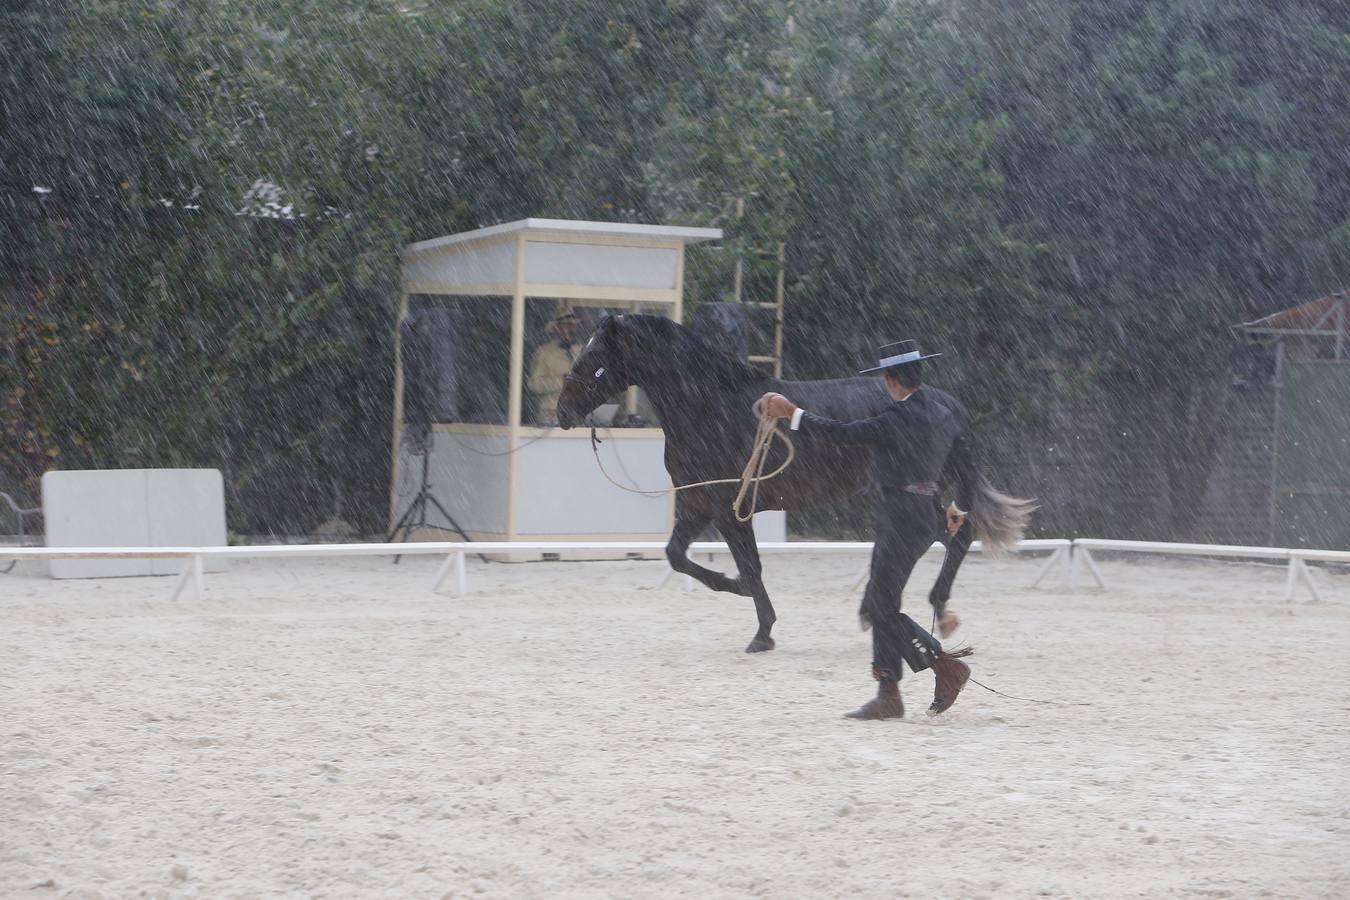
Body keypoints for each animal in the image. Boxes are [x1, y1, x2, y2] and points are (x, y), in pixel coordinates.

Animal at [558, 317, 1031, 655]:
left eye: (595, 355)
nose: (562, 411)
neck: (710, 406)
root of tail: (950, 404)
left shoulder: (730, 507)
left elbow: (751, 566)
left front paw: (761, 630)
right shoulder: (698, 504)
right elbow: (676, 556)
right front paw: (735, 590)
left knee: (950, 536)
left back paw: (934, 607)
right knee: (941, 538)